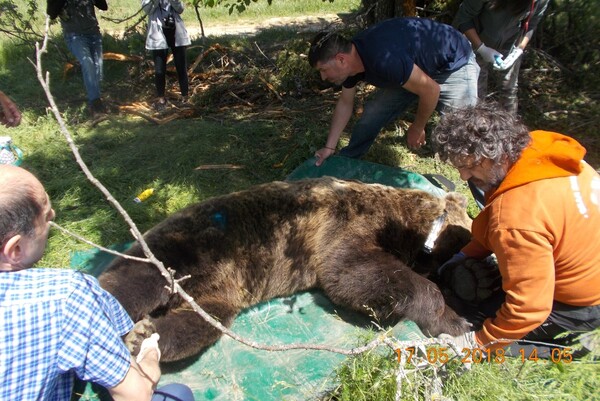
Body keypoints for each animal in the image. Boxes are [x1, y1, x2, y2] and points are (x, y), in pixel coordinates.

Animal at [98, 177, 474, 360]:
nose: (455, 278)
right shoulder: (344, 227)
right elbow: (353, 272)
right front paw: (453, 319)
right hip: (179, 248)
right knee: (131, 285)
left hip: (216, 293)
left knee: (197, 325)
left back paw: (144, 336)